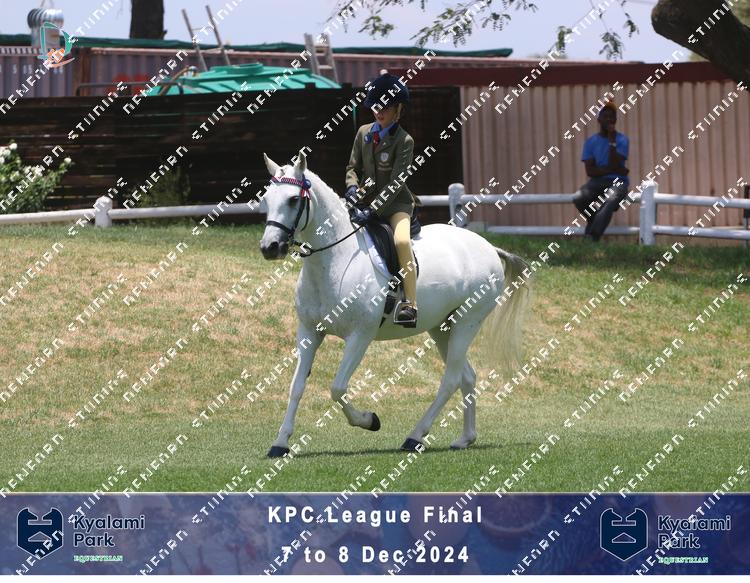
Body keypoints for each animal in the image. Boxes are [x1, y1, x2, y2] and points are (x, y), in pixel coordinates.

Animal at [259, 149, 530, 457]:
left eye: (294, 199)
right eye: (266, 199)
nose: (270, 248)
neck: (334, 260)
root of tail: (489, 248)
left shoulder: (360, 336)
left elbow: (337, 387)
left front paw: (369, 421)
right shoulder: (308, 332)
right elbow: (296, 386)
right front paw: (280, 442)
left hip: (467, 322)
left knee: (450, 380)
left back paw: (415, 436)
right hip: (443, 327)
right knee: (467, 376)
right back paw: (465, 438)